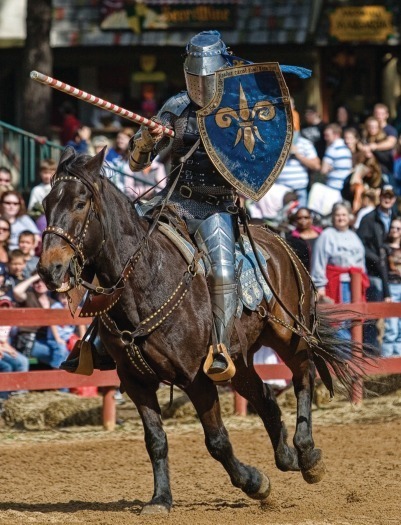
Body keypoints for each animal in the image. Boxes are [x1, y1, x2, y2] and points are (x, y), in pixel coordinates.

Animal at [38, 146, 368, 512]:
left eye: (80, 203)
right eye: (46, 204)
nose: (49, 269)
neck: (146, 280)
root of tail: (280, 242)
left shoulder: (196, 378)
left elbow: (217, 441)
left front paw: (255, 483)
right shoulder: (136, 381)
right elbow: (156, 440)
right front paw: (161, 499)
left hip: (288, 336)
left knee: (304, 375)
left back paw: (307, 454)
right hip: (238, 362)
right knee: (266, 397)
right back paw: (287, 457)